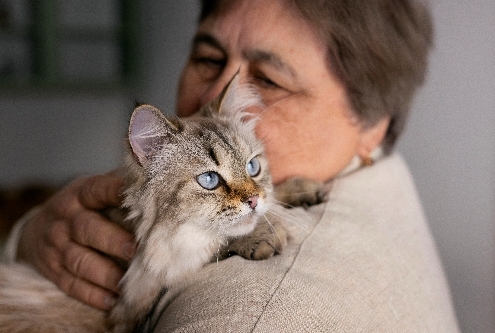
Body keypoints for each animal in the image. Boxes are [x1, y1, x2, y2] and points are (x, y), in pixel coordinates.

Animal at [0, 75, 302, 332]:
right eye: (209, 180)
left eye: (253, 167)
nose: (253, 200)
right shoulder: (140, 290)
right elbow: (213, 244)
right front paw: (264, 235)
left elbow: (273, 198)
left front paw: (300, 189)